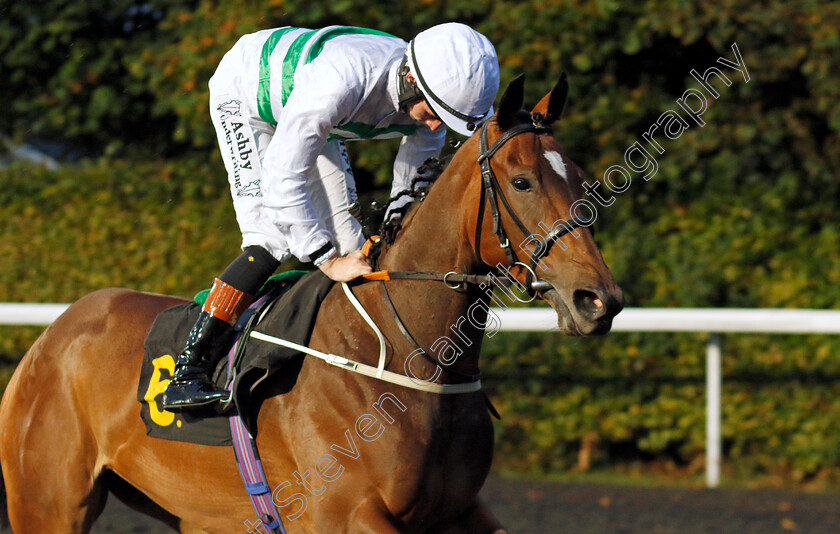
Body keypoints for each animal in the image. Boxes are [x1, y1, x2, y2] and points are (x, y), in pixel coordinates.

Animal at [0, 75, 624, 534]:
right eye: (521, 182)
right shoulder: (343, 514)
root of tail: (55, 332)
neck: (408, 357)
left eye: (580, 177)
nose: (599, 299)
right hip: (48, 504)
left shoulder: (459, 511)